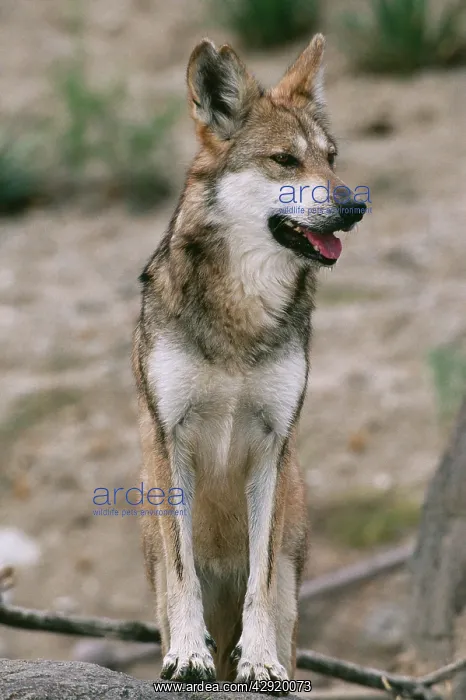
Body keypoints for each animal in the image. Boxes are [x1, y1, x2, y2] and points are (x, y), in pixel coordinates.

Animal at [132, 33, 366, 687]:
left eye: (331, 159)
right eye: (285, 161)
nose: (355, 207)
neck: (244, 313)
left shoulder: (273, 444)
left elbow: (258, 582)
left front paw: (259, 662)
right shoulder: (170, 439)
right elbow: (183, 575)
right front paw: (188, 656)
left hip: (294, 568)